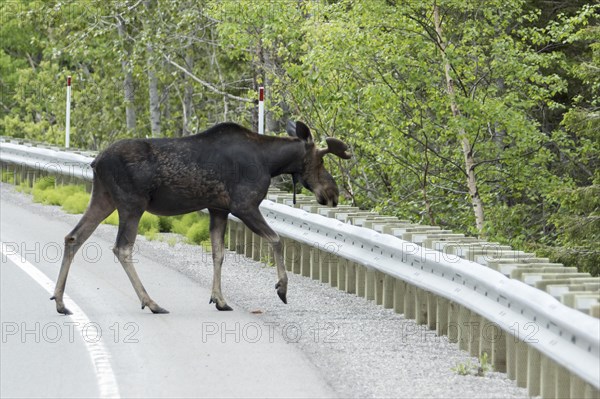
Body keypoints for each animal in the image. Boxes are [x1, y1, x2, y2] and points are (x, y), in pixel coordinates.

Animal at [52, 120, 352, 314]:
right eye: (321, 160)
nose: (333, 193)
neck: (270, 163)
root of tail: (95, 161)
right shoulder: (244, 205)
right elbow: (276, 239)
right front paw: (281, 288)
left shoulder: (219, 209)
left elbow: (218, 253)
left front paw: (219, 299)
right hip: (131, 204)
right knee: (122, 248)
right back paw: (152, 303)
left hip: (103, 198)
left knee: (74, 237)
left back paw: (60, 302)